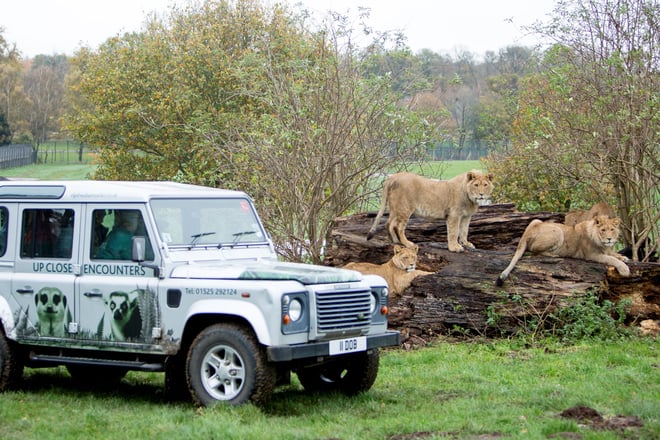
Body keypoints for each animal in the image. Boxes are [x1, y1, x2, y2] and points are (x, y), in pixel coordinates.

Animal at [496, 215, 630, 286]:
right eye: (603, 230)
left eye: (612, 229)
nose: (609, 239)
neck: (602, 243)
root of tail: (526, 234)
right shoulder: (592, 255)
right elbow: (610, 258)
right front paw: (624, 269)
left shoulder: (606, 250)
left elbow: (613, 254)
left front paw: (623, 257)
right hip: (558, 231)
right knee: (534, 251)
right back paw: (555, 255)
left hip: (535, 220)